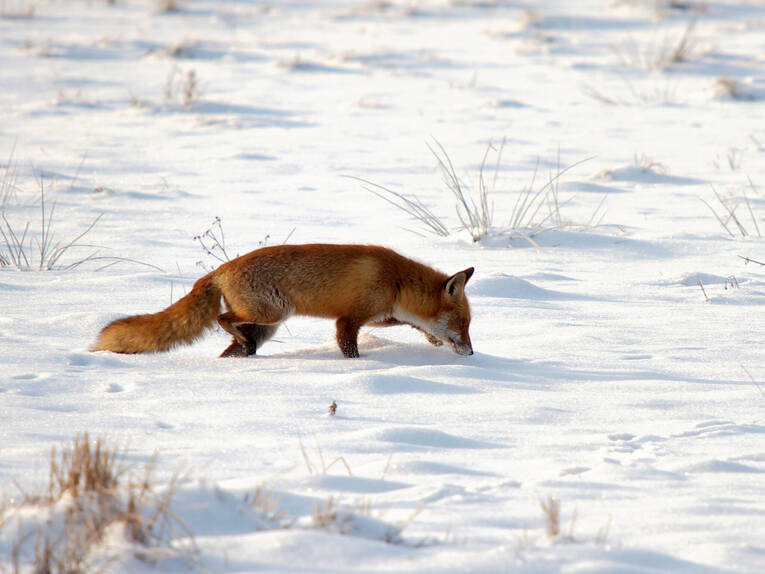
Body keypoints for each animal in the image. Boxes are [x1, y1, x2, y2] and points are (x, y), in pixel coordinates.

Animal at [91, 244, 475, 359]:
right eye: (463, 324)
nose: (472, 353)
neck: (395, 281)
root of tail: (221, 269)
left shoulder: (381, 314)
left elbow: (410, 323)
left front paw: (432, 339)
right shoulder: (348, 319)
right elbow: (349, 347)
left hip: (267, 325)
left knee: (233, 344)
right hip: (272, 312)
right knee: (223, 319)